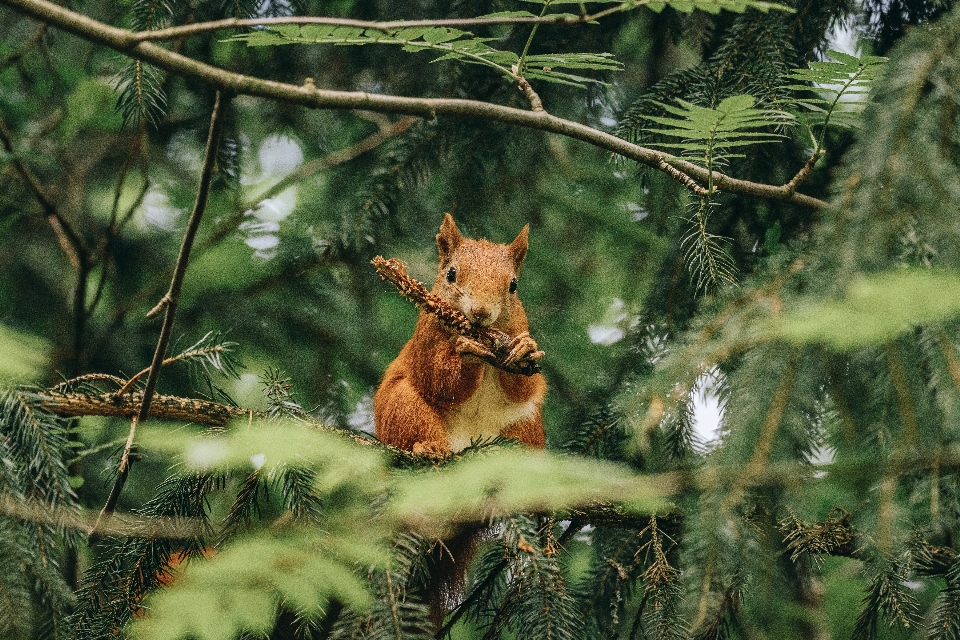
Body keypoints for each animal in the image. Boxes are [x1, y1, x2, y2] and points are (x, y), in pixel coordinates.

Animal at [376, 215, 548, 456]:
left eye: (513, 285)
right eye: (451, 274)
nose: (480, 312)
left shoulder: (518, 326)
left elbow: (524, 388)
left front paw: (525, 348)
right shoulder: (426, 338)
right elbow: (438, 378)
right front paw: (469, 354)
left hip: (525, 424)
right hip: (404, 407)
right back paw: (429, 447)